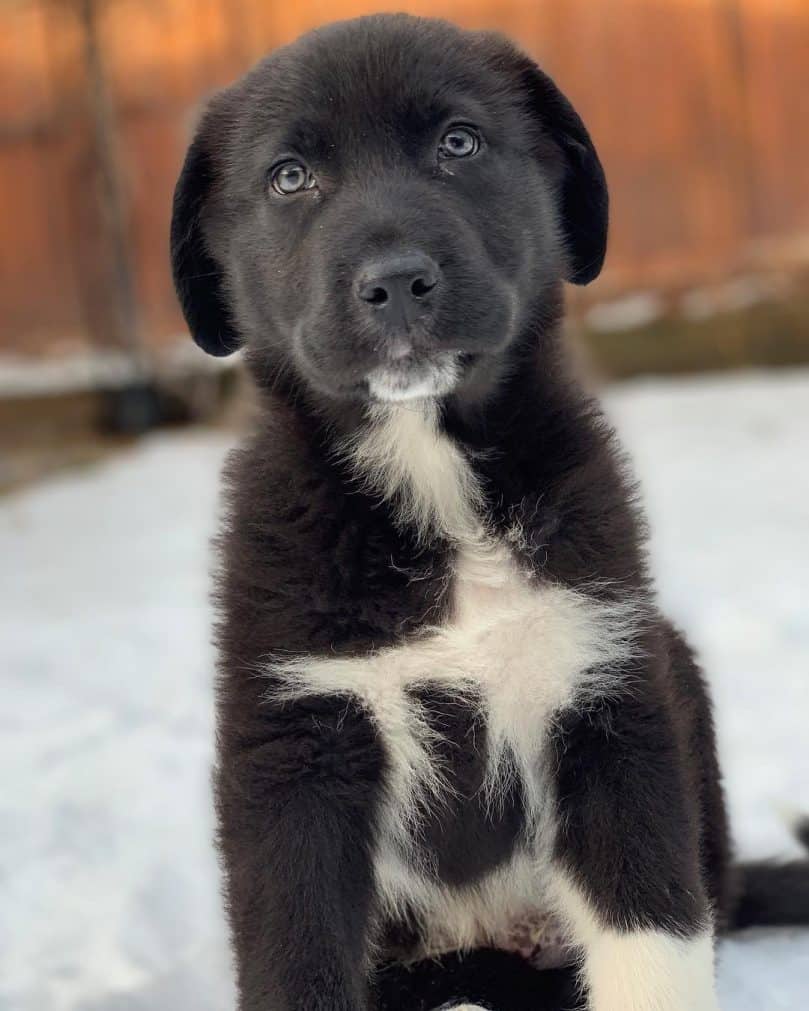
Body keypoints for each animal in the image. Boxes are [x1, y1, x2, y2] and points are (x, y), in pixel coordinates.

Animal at [167, 13, 804, 1011]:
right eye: (289, 177)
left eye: (458, 144)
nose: (395, 281)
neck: (433, 476)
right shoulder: (297, 748)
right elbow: (295, 955)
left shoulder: (603, 692)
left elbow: (652, 938)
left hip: (672, 669)